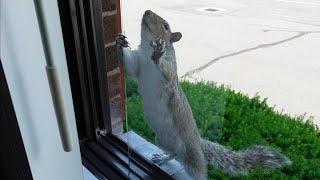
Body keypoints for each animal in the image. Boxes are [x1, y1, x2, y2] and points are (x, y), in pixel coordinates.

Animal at [117, 10, 290, 180]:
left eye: (166, 26)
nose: (146, 12)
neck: (147, 51)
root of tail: (198, 143)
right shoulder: (138, 63)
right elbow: (130, 65)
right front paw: (120, 42)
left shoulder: (169, 72)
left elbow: (165, 71)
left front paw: (158, 54)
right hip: (162, 141)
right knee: (173, 154)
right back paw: (163, 158)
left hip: (193, 158)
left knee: (199, 171)